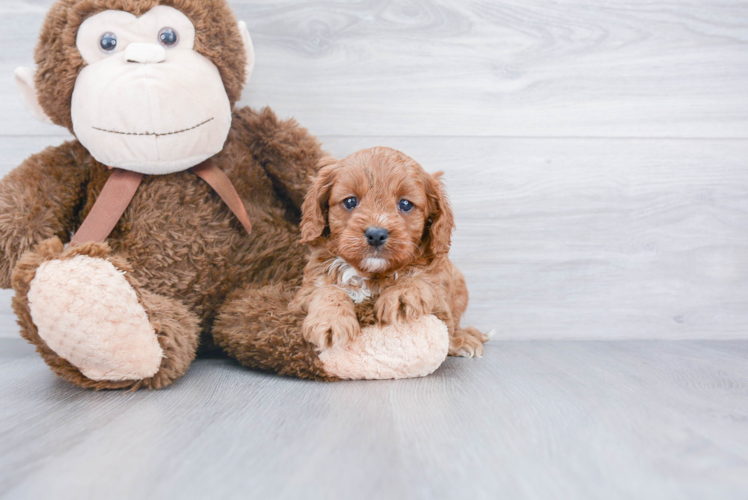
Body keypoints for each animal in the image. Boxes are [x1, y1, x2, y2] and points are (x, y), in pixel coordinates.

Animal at [290, 146, 488, 358]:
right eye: (350, 201)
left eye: (405, 204)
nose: (376, 234)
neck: (370, 274)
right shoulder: (302, 294)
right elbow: (326, 290)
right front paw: (331, 321)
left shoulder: (441, 295)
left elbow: (424, 281)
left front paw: (402, 295)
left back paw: (465, 339)